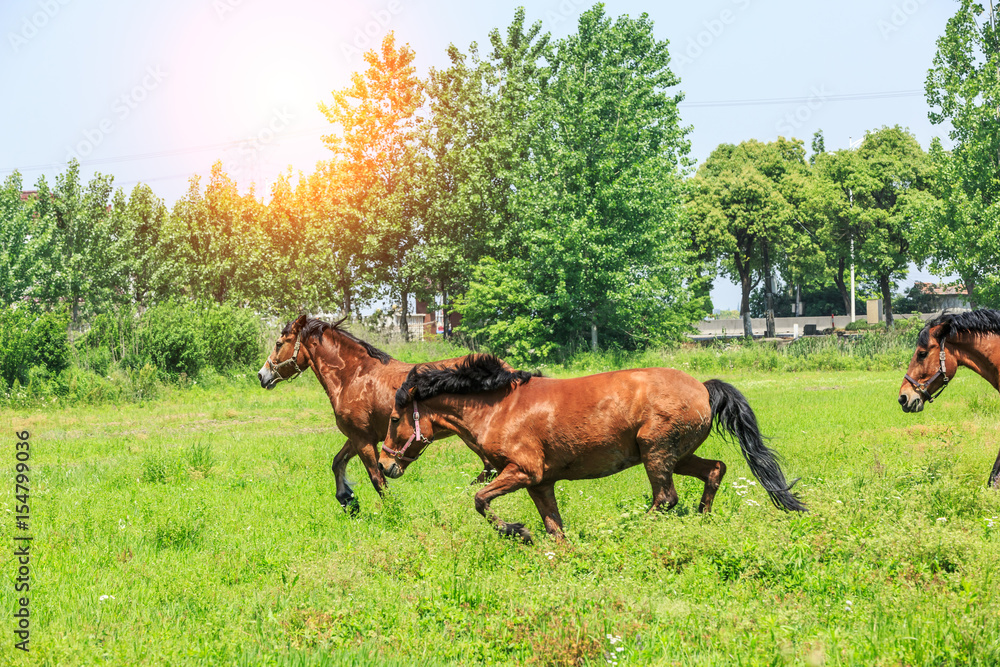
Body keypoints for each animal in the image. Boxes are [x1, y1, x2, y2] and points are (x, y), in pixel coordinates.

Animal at [254, 316, 496, 516]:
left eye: (279, 344)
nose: (262, 375)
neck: (353, 376)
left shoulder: (363, 440)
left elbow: (377, 478)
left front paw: (393, 511)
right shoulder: (358, 437)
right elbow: (337, 462)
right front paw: (348, 501)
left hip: (471, 436)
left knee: (490, 467)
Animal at [376, 354, 804, 544]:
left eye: (394, 419)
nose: (383, 465)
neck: (498, 407)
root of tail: (703, 387)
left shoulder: (523, 472)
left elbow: (481, 500)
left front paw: (518, 531)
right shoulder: (540, 483)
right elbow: (554, 526)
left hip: (657, 454)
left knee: (665, 498)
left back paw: (629, 530)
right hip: (678, 457)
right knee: (714, 470)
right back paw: (702, 521)